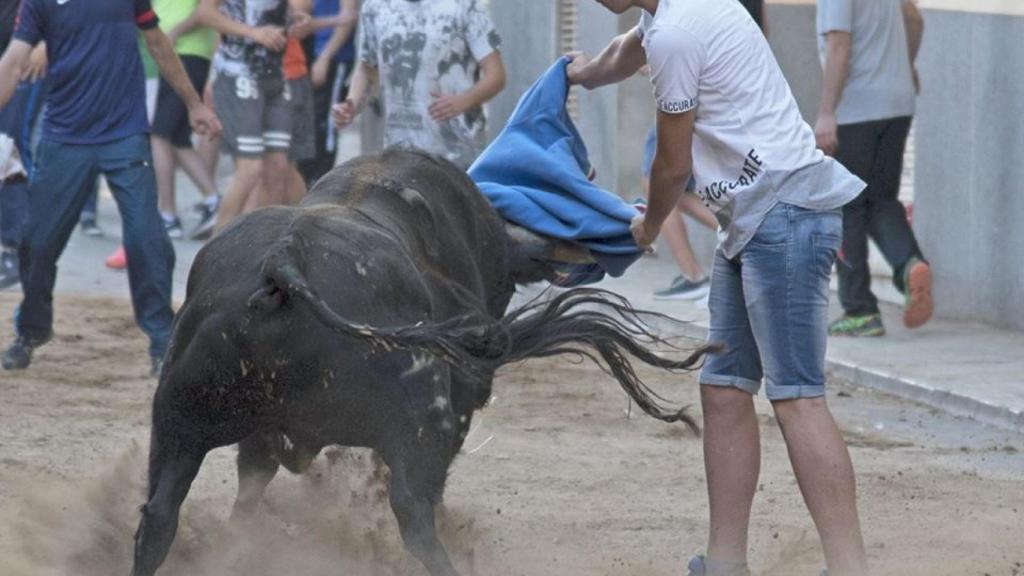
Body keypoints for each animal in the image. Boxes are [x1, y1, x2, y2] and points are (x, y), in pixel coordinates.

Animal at [130, 150, 712, 569]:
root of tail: (284, 262)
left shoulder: (257, 431)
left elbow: (251, 479)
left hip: (179, 421)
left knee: (160, 515)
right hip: (424, 421)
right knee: (414, 512)